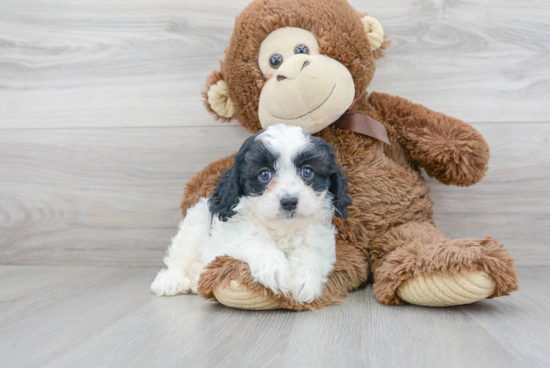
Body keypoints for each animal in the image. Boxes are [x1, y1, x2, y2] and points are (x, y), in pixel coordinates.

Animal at [152, 124, 350, 304]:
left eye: (307, 171)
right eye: (264, 174)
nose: (289, 202)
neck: (282, 229)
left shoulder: (320, 238)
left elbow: (311, 251)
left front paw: (305, 280)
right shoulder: (230, 235)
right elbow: (254, 240)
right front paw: (273, 269)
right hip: (196, 223)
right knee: (180, 258)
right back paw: (171, 281)